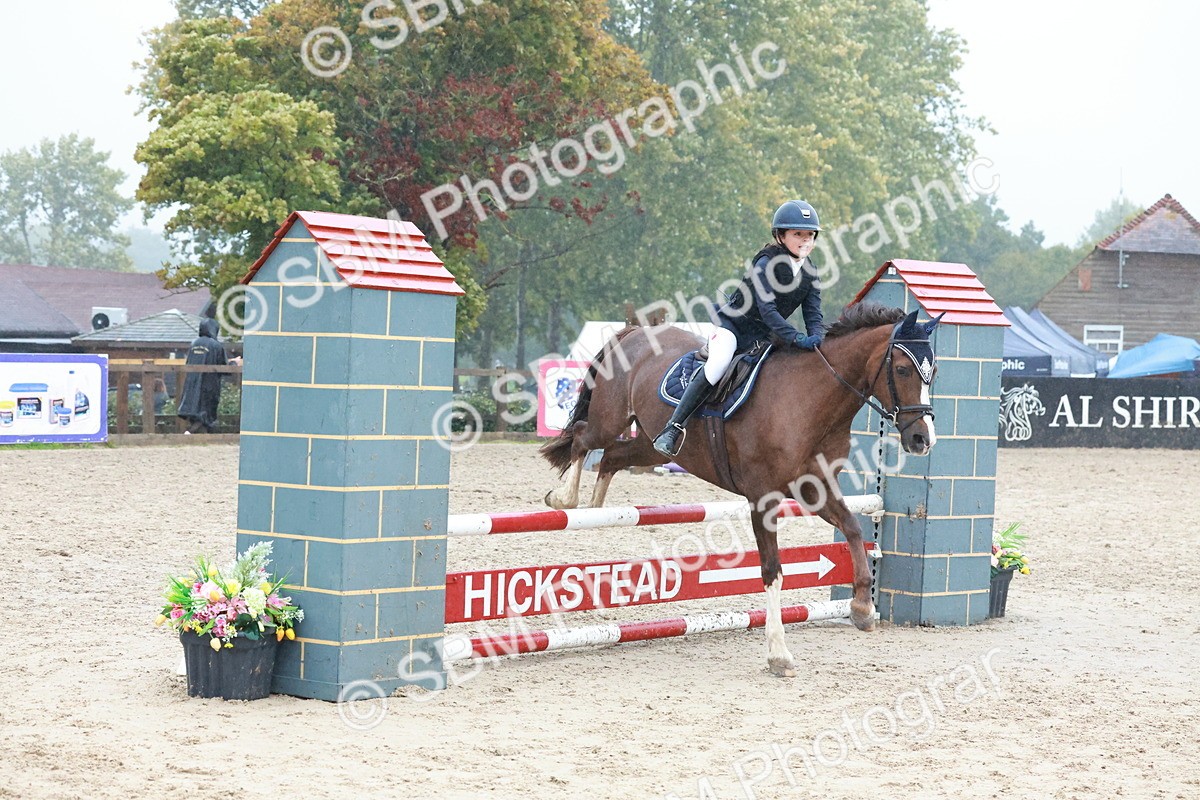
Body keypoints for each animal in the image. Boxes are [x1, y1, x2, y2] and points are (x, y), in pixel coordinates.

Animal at [540, 303, 943, 677]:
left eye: (933, 372)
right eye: (903, 370)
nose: (923, 440)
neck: (814, 401)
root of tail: (635, 332)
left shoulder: (815, 489)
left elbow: (855, 529)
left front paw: (862, 608)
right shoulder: (763, 497)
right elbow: (772, 570)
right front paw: (779, 654)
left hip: (653, 444)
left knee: (612, 456)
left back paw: (597, 507)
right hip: (611, 419)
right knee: (583, 438)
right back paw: (564, 499)